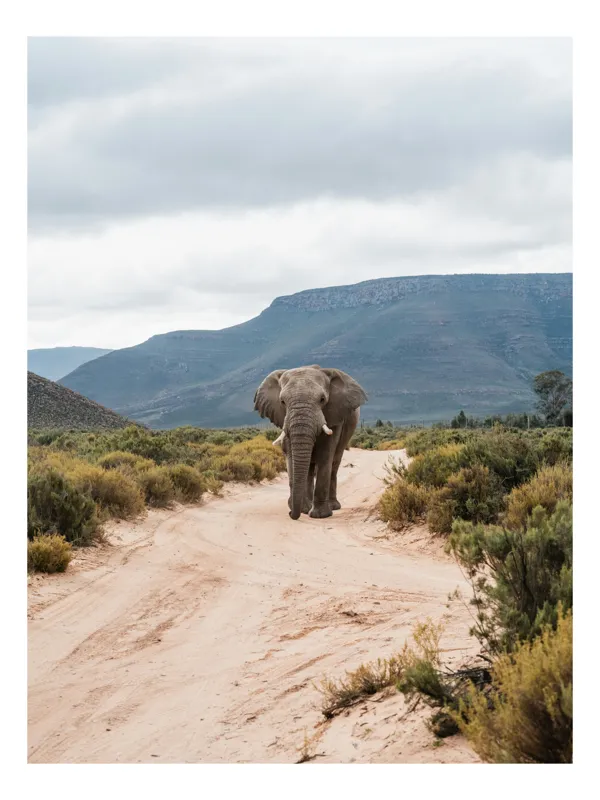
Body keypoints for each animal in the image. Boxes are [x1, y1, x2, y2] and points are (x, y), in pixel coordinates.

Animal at [253, 365, 368, 520]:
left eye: (322, 399)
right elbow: (291, 455)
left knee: (334, 462)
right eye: (282, 402)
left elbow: (325, 454)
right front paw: (301, 509)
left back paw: (332, 506)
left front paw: (320, 515)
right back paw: (306, 509)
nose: (291, 513)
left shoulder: (335, 414)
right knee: (310, 468)